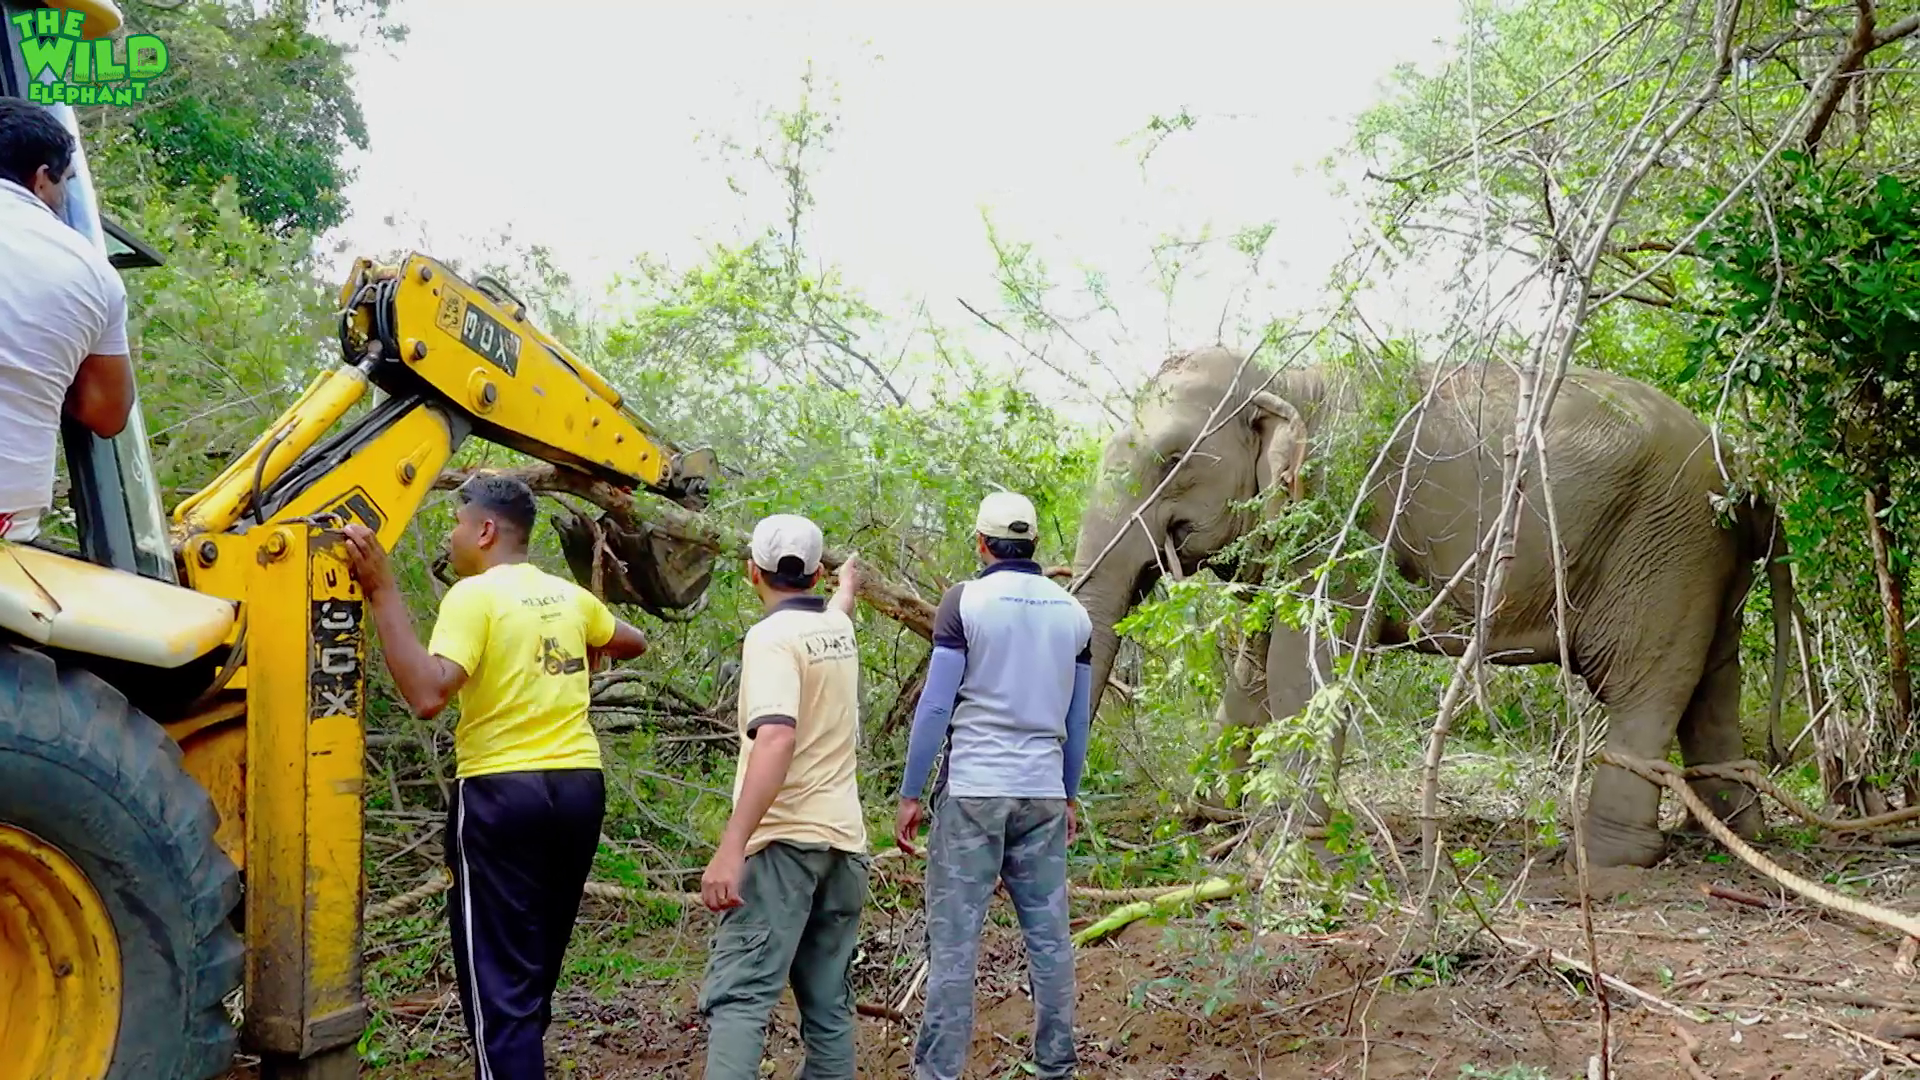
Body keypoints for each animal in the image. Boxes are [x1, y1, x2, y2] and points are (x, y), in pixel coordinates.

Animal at [1075, 343, 1789, 864]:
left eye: (1172, 460)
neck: (1293, 381)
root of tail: (1747, 472)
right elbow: (1253, 670)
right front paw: (1211, 819)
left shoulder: (1347, 512)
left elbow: (1306, 665)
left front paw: (1281, 844)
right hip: (1704, 556)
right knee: (1711, 682)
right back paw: (1733, 837)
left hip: (1665, 544)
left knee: (1645, 680)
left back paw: (1609, 862)